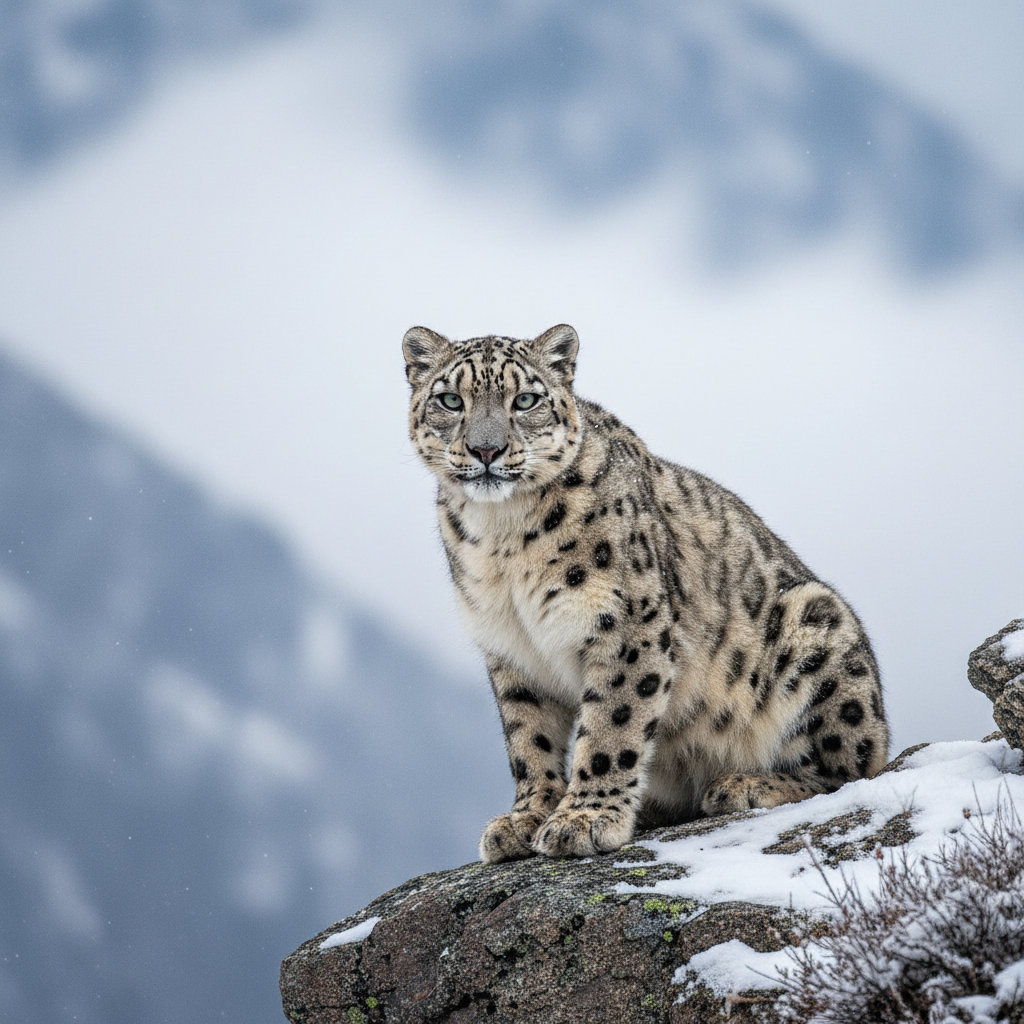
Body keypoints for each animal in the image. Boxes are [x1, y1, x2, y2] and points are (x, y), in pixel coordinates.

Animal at [402, 323, 889, 863]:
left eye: (525, 399)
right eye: (450, 400)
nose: (485, 450)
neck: (502, 538)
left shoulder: (625, 623)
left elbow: (611, 727)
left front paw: (584, 819)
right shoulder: (510, 647)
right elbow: (528, 737)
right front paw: (527, 816)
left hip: (817, 626)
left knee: (850, 770)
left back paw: (743, 785)